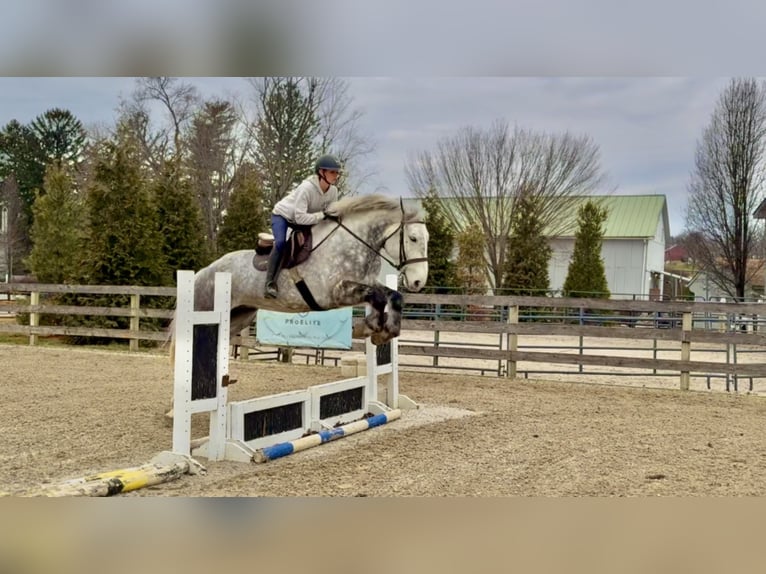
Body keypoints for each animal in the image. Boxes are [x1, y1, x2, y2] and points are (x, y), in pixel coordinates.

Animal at [167, 193, 429, 375]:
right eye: (413, 238)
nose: (418, 281)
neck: (353, 243)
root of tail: (204, 272)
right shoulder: (335, 292)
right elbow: (377, 296)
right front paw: (369, 328)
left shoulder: (364, 284)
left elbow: (391, 296)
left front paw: (381, 331)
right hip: (206, 310)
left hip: (239, 316)